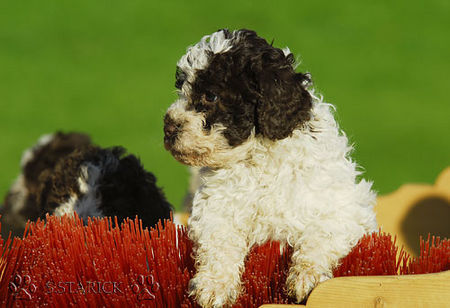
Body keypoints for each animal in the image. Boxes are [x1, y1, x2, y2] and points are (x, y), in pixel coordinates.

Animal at [163, 28, 378, 306]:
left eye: (211, 96)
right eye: (181, 89)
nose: (168, 127)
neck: (259, 158)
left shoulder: (344, 208)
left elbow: (321, 235)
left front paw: (306, 278)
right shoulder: (216, 207)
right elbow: (219, 240)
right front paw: (214, 285)